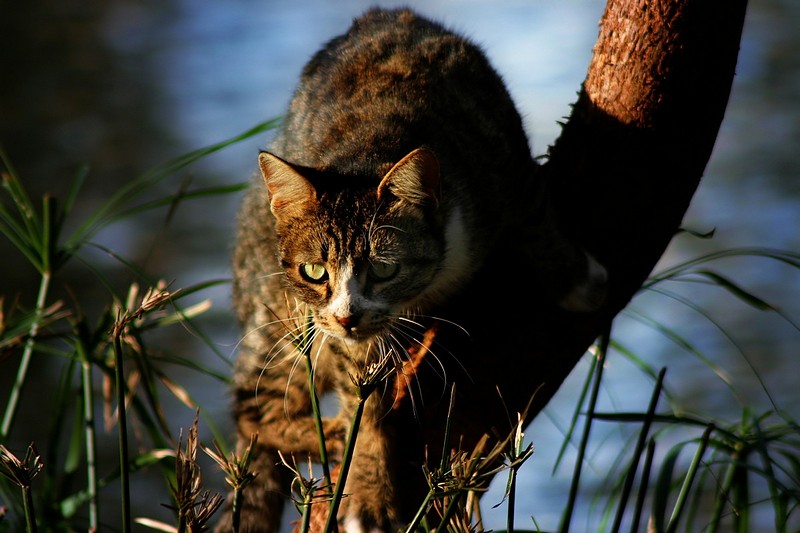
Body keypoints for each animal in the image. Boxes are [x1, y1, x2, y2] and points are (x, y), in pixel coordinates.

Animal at [219, 8, 608, 532]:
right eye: (315, 270)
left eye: (383, 269)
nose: (347, 317)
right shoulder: (337, 333)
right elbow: (363, 400)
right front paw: (367, 483)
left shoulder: (503, 154)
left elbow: (536, 215)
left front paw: (577, 282)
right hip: (275, 318)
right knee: (252, 408)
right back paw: (330, 431)